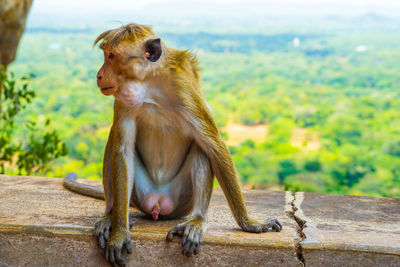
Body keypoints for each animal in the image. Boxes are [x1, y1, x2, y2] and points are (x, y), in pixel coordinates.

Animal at [63, 23, 282, 267]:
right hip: (140, 193)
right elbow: (123, 151)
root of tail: (158, 204)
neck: (150, 83)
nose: (99, 75)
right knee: (114, 142)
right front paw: (118, 234)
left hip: (181, 201)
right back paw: (111, 216)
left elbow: (214, 146)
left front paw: (249, 223)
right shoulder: (123, 98)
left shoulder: (184, 89)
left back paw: (197, 221)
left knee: (200, 148)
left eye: (111, 56)